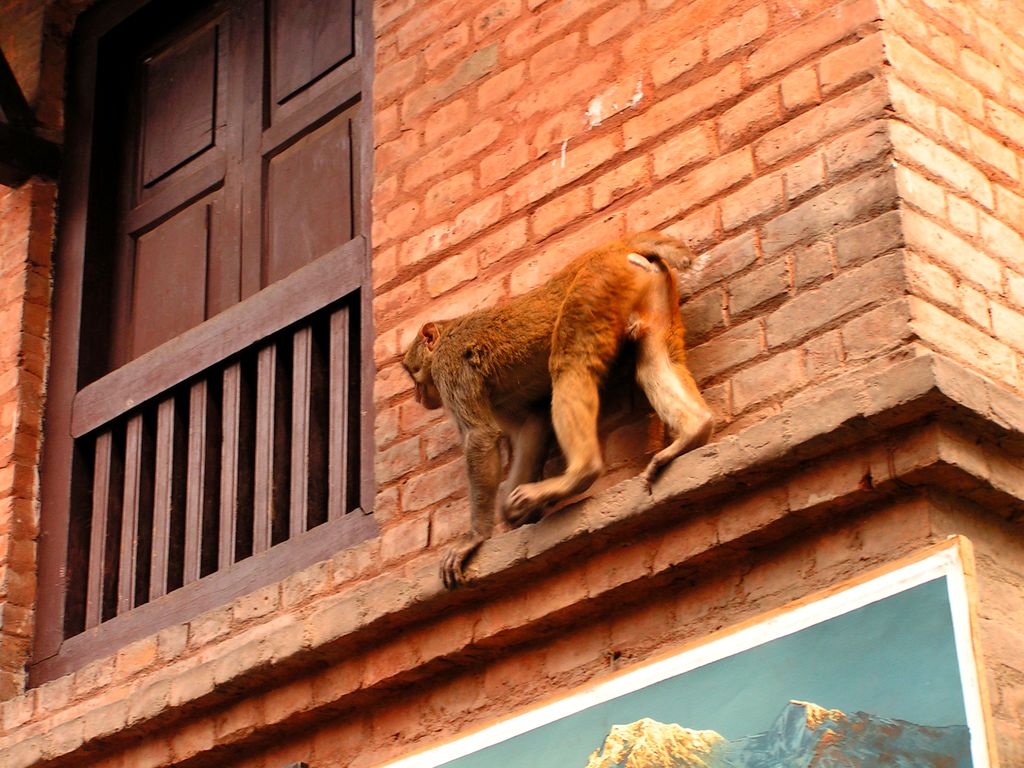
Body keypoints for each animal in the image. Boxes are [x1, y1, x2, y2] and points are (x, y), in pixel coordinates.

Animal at [399, 230, 712, 589]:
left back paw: (580, 473)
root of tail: (617, 246)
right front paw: (513, 512)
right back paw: (694, 430)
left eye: (413, 374)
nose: (417, 396)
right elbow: (531, 423)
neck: (449, 330)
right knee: (656, 357)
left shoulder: (451, 369)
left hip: (595, 287)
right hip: (652, 289)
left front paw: (476, 537)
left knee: (570, 366)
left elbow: (481, 436)